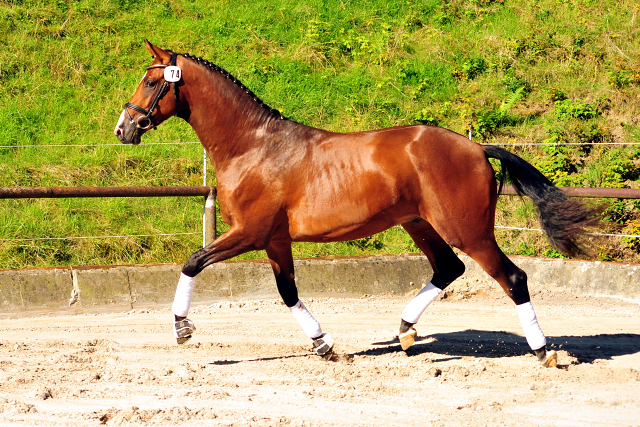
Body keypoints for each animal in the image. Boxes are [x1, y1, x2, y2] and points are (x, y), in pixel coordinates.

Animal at [112, 41, 596, 368]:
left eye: (152, 82)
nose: (123, 128)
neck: (253, 146)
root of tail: (477, 148)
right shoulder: (274, 240)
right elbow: (288, 293)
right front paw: (325, 346)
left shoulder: (248, 233)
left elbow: (193, 262)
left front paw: (182, 328)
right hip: (419, 224)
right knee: (448, 268)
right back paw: (405, 332)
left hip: (468, 230)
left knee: (512, 277)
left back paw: (543, 351)